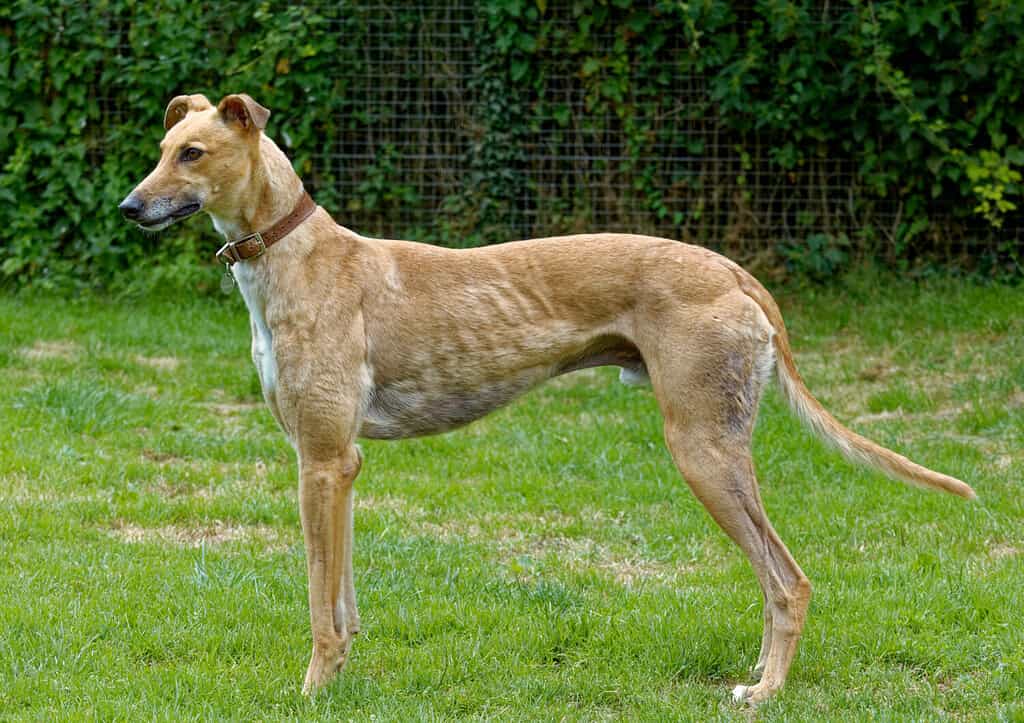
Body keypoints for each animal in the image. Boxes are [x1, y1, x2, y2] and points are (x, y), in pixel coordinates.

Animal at [119, 93, 974, 700]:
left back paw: (766, 691)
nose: (130, 208)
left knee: (787, 579)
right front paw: (342, 676)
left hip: (704, 448)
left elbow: (317, 603)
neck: (298, 256)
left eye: (193, 153)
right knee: (778, 581)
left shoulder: (322, 459)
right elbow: (344, 597)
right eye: (161, 150)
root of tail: (734, 273)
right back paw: (756, 680)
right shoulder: (339, 462)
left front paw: (312, 688)